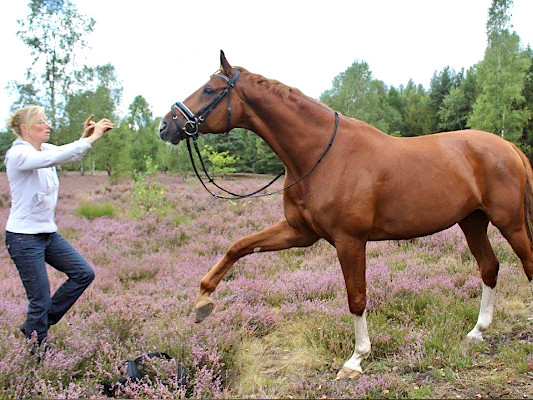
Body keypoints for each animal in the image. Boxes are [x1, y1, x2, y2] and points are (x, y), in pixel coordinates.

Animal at [158, 50, 532, 378]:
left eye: (210, 90)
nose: (165, 126)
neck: (321, 154)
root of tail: (508, 147)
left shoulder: (349, 240)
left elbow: (356, 297)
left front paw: (356, 359)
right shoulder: (299, 232)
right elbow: (238, 246)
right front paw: (203, 300)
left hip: (509, 222)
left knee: (526, 263)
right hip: (473, 221)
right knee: (489, 267)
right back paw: (477, 331)